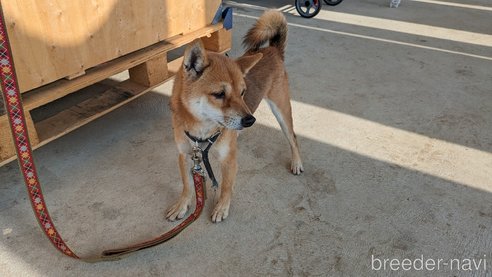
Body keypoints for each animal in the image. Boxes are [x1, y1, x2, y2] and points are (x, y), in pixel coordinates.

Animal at [167, 10, 302, 222]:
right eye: (219, 94)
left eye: (242, 92)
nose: (250, 120)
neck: (202, 131)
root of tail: (273, 50)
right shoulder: (185, 155)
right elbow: (187, 184)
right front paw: (182, 204)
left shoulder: (228, 160)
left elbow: (226, 187)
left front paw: (222, 207)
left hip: (282, 110)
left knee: (293, 138)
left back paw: (296, 162)